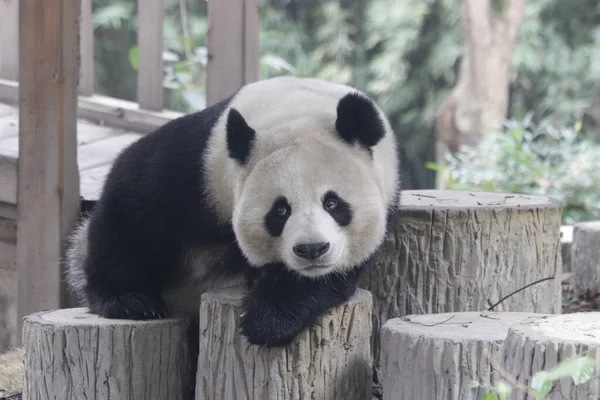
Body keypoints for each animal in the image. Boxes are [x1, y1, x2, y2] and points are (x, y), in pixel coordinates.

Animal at [64, 76, 398, 348]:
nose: (311, 249)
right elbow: (133, 208)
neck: (296, 111)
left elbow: (328, 276)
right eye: (280, 210)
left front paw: (268, 321)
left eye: (332, 203)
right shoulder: (199, 163)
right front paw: (129, 301)